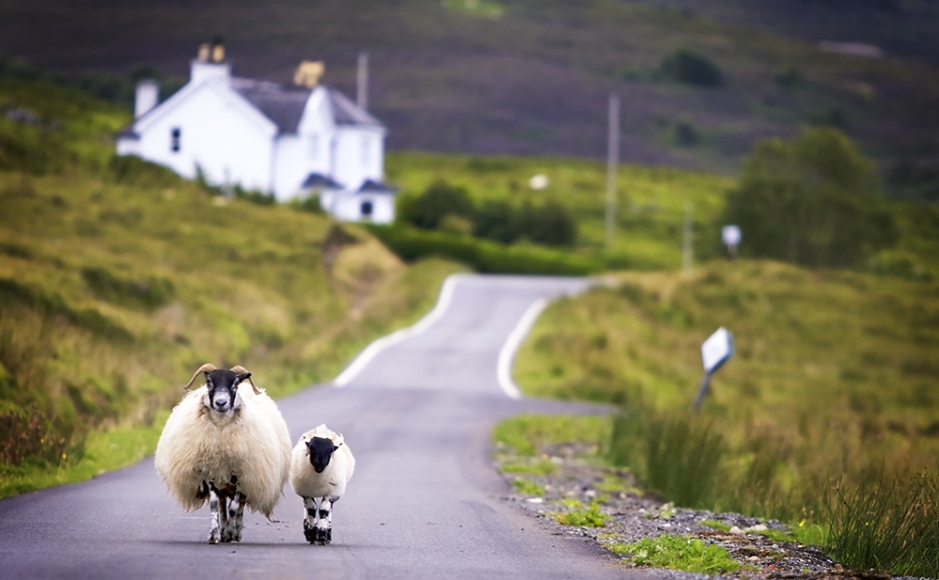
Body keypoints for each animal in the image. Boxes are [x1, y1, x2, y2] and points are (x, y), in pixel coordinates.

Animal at [154, 362, 290, 544]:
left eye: (235, 384)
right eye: (209, 382)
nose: (220, 403)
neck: (220, 431)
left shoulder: (240, 473)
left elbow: (234, 507)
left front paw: (231, 532)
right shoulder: (210, 470)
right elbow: (215, 504)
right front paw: (214, 534)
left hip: (247, 477)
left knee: (238, 505)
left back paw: (235, 531)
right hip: (222, 479)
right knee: (222, 503)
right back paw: (224, 530)